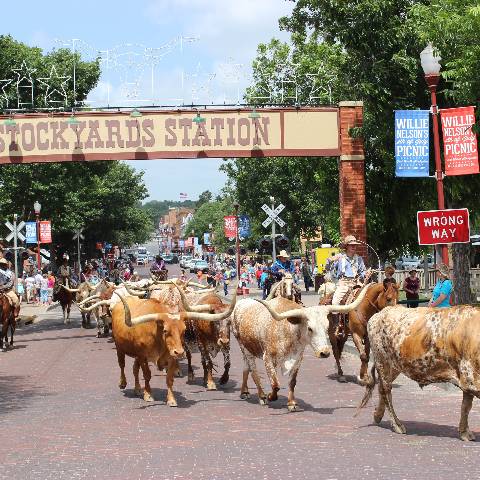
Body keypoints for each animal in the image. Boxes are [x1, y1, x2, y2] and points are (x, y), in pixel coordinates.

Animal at [232, 284, 372, 412]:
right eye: (310, 328)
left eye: (327, 327)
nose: (325, 352)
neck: (288, 330)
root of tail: (241, 303)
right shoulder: (268, 358)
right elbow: (275, 384)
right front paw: (271, 396)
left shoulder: (298, 358)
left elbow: (292, 382)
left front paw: (291, 403)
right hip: (244, 347)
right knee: (254, 372)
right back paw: (261, 396)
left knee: (246, 368)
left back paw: (244, 392)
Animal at [358, 306, 480, 440]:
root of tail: (380, 313)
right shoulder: (470, 378)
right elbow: (467, 406)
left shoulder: (467, 379)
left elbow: (465, 406)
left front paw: (464, 432)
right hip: (382, 360)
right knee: (386, 391)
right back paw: (397, 425)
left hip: (394, 366)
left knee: (382, 388)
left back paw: (378, 415)